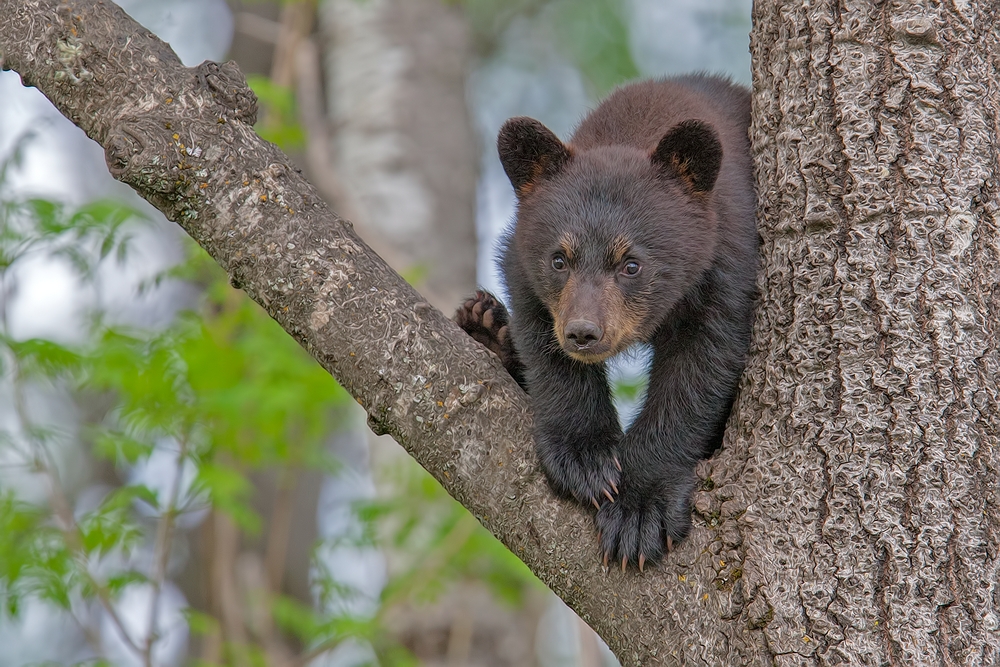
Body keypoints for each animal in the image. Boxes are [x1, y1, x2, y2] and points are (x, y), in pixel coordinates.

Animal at [458, 75, 752, 572]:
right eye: (559, 259)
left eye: (631, 264)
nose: (582, 331)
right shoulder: (525, 266)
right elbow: (546, 348)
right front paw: (585, 458)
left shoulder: (725, 266)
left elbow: (698, 372)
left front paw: (639, 508)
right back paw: (486, 327)